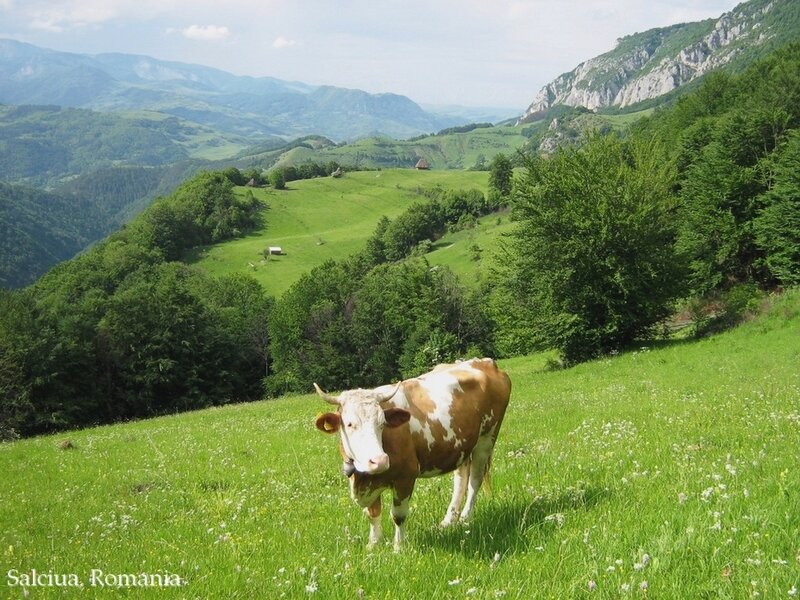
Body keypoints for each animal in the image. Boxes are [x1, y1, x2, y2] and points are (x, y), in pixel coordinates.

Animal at [314, 358, 511, 551]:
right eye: (349, 424)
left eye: (382, 423)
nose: (379, 461)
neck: (361, 479)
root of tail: (484, 361)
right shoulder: (370, 481)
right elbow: (373, 513)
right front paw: (373, 544)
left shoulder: (405, 477)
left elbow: (398, 515)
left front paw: (398, 548)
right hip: (462, 445)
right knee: (461, 478)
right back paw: (448, 521)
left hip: (486, 439)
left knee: (475, 480)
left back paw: (465, 518)